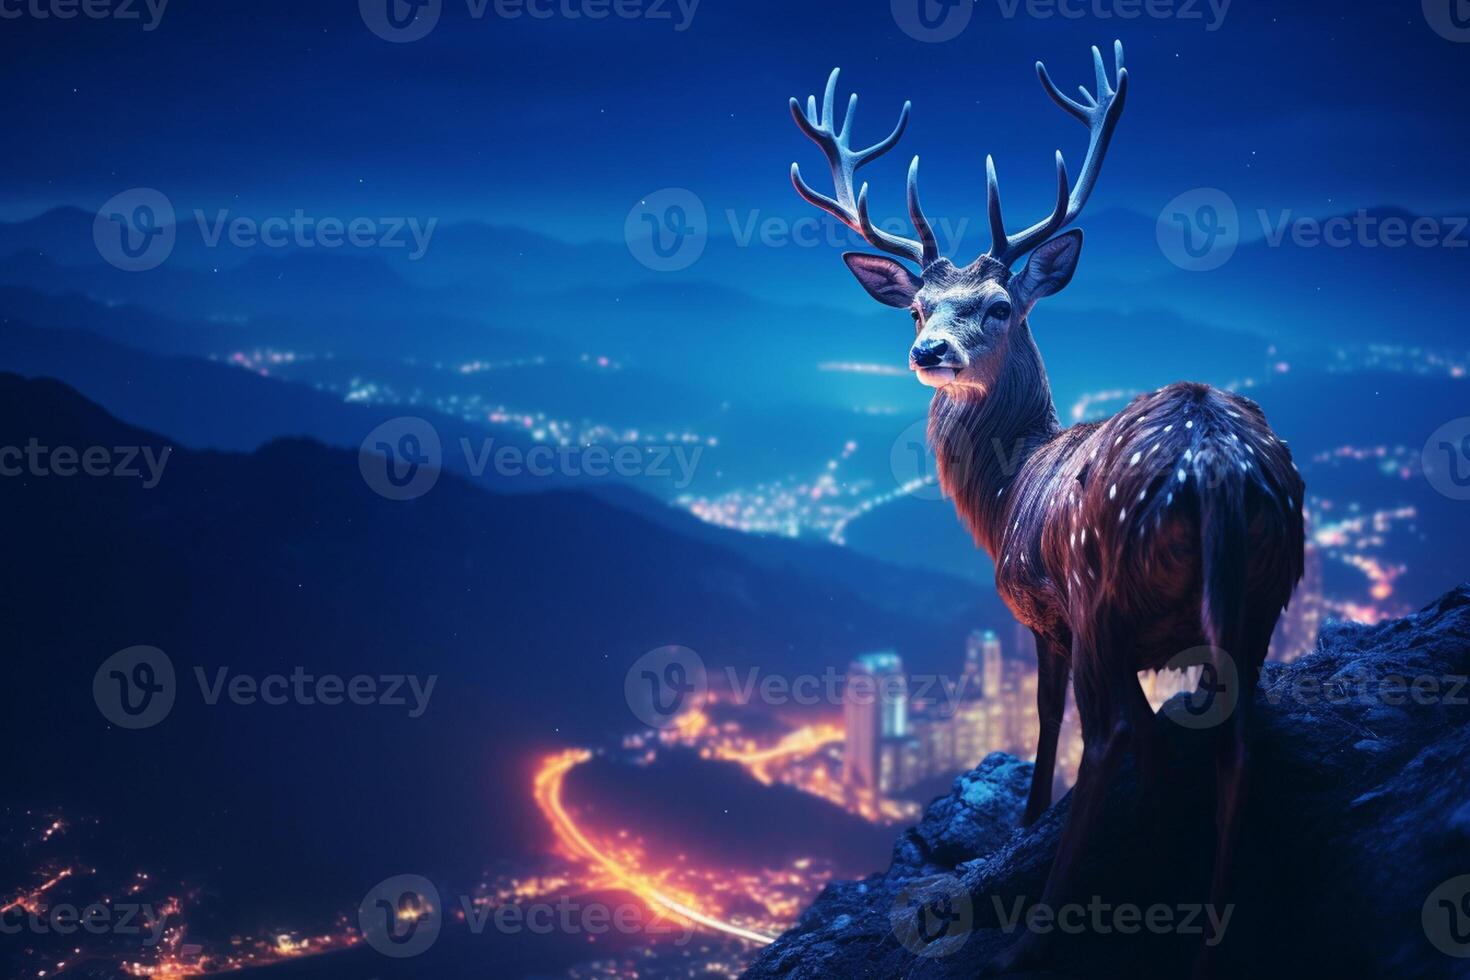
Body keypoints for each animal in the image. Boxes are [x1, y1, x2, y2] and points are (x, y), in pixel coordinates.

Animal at [787, 38, 1305, 975]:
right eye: (916, 308)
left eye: (998, 306)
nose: (929, 349)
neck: (1006, 489)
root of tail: (1213, 465)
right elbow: (1159, 746)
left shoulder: (1042, 612)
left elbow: (1049, 719)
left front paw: (1026, 823)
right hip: (1265, 592)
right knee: (1233, 740)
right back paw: (1210, 933)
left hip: (1102, 592)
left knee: (1103, 740)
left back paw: (1035, 930)